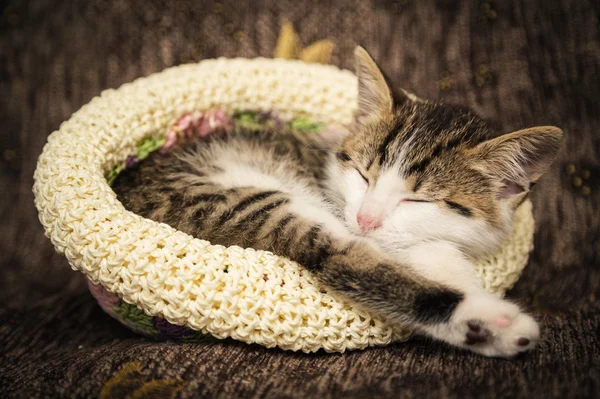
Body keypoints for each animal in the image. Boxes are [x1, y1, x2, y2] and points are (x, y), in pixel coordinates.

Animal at [111, 47, 564, 360]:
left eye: (416, 199)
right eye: (363, 175)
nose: (365, 218)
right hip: (239, 201)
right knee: (340, 257)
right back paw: (489, 323)